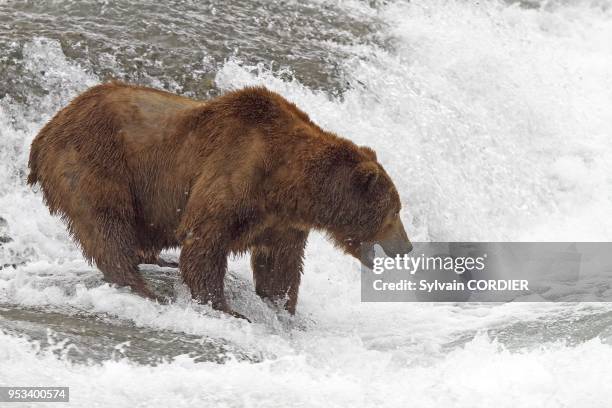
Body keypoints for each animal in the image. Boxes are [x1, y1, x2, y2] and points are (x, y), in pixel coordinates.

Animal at [27, 82, 412, 318]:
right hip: (96, 160)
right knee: (106, 222)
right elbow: (205, 242)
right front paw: (229, 308)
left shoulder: (282, 220)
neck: (288, 182)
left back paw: (157, 261)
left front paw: (281, 306)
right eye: (394, 211)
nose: (406, 247)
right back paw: (142, 286)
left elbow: (280, 262)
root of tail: (45, 130)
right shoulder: (234, 171)